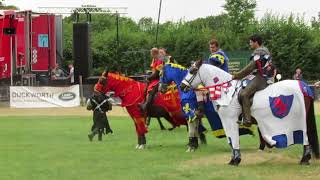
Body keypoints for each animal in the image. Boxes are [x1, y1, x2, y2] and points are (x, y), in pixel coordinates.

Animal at [181, 60, 318, 166]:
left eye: (192, 71)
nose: (182, 86)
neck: (226, 91)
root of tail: (304, 86)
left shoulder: (230, 119)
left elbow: (233, 139)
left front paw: (236, 160)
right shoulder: (226, 121)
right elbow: (230, 140)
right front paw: (233, 159)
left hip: (299, 120)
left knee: (305, 137)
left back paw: (304, 159)